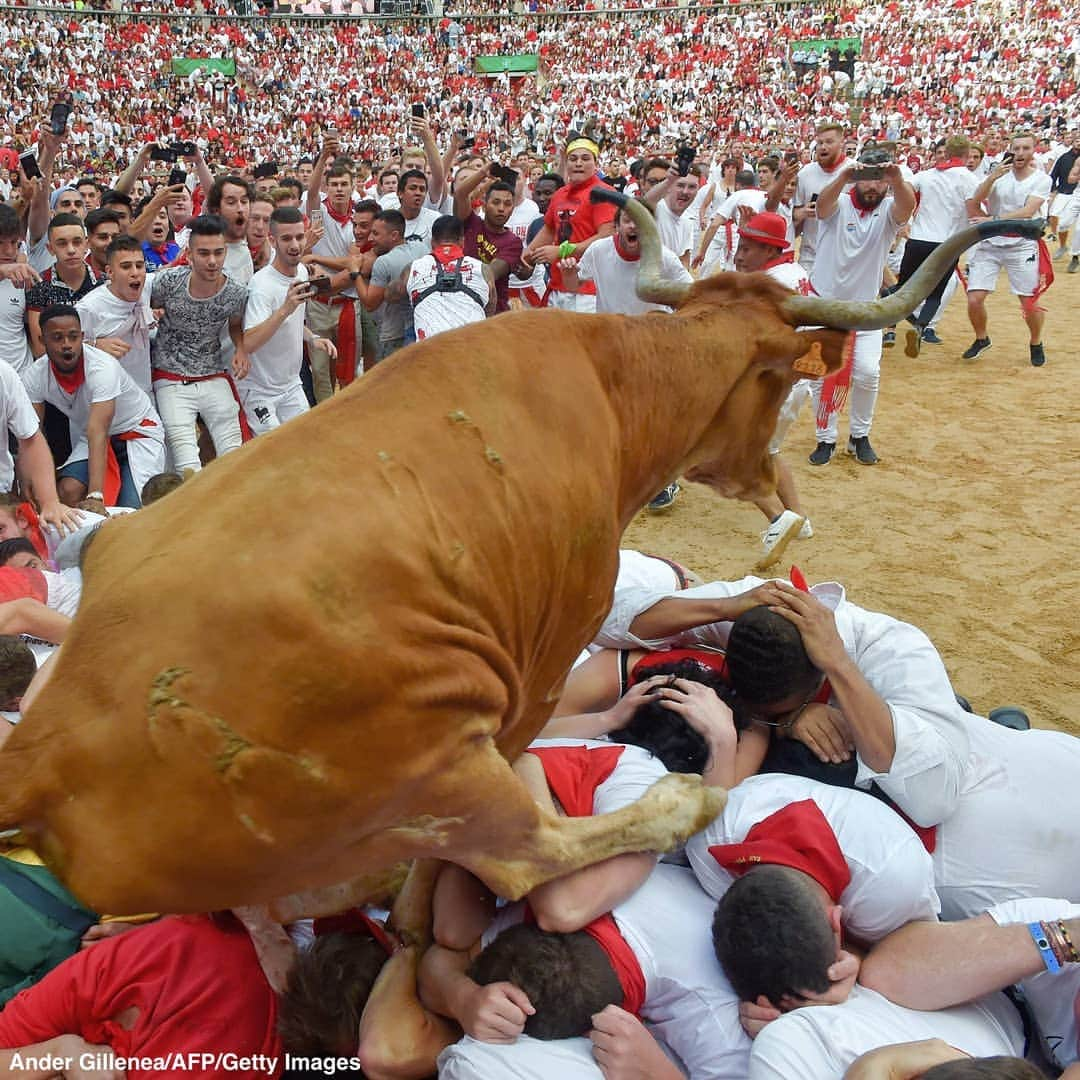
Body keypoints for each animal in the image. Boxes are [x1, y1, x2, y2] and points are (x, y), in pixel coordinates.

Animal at [0, 196, 1036, 920]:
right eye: (779, 378)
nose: (773, 480)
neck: (612, 389)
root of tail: (45, 753)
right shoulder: (542, 657)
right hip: (445, 766)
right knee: (520, 853)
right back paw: (681, 803)